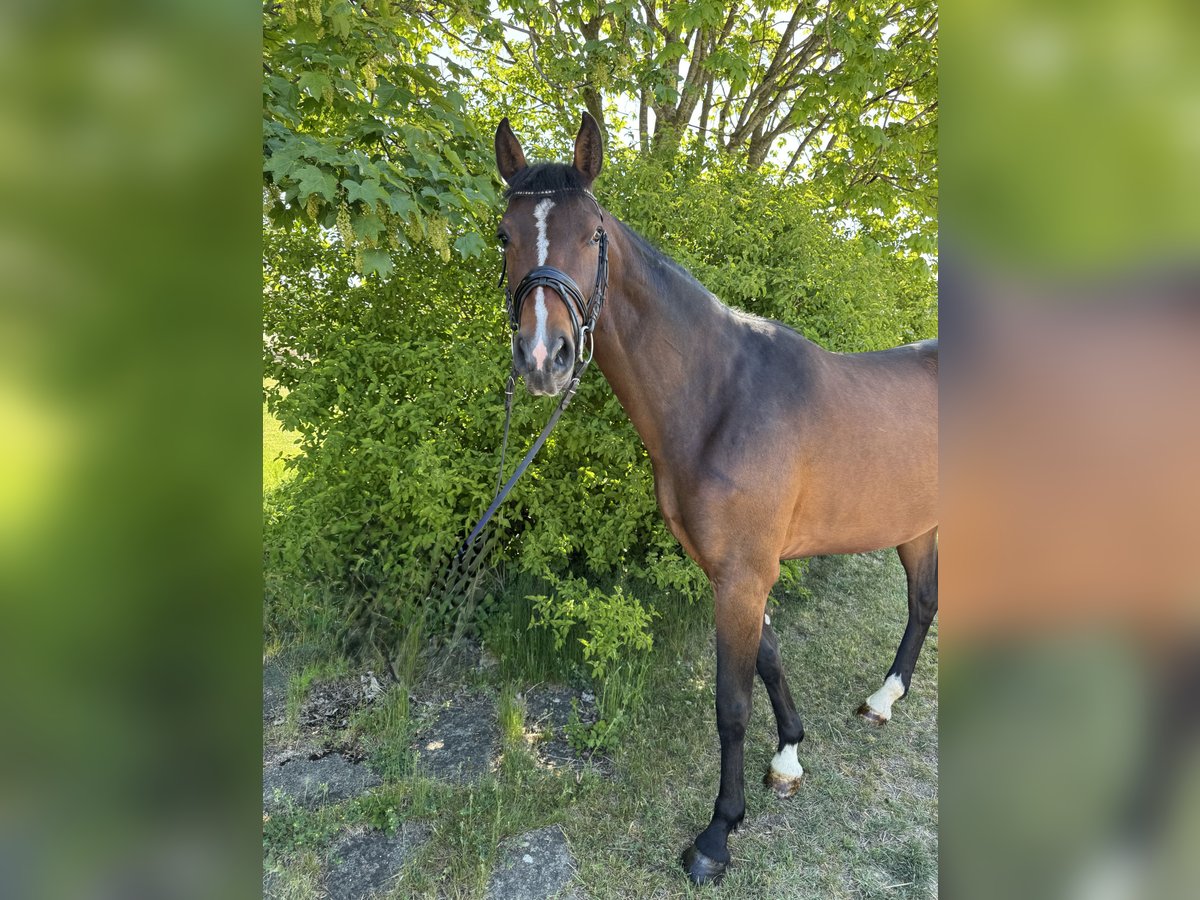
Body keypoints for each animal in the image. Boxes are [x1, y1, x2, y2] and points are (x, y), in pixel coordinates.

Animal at [492, 112, 938, 885]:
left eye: (593, 234)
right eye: (505, 235)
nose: (543, 358)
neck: (720, 398)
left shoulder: (743, 575)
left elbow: (731, 703)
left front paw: (717, 835)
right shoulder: (732, 570)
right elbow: (769, 659)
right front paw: (788, 756)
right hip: (918, 524)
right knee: (922, 604)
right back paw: (884, 699)